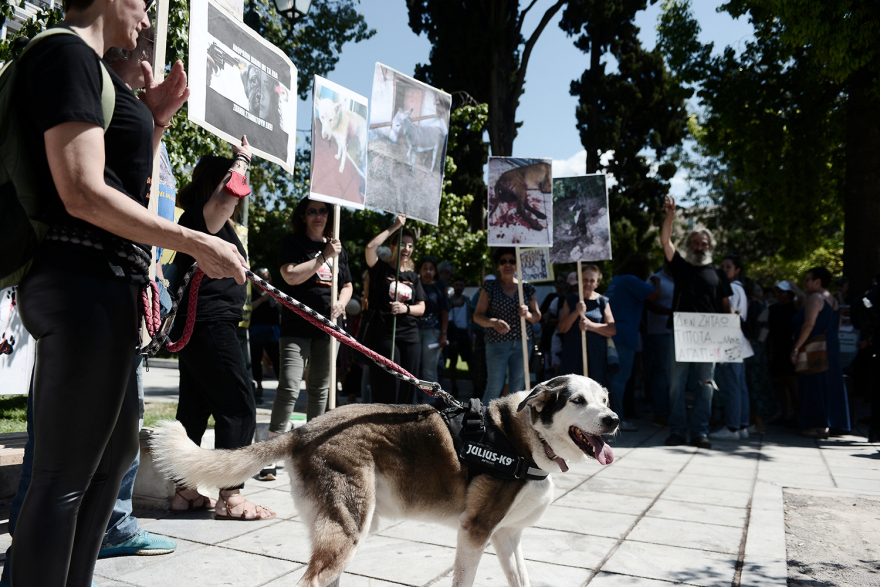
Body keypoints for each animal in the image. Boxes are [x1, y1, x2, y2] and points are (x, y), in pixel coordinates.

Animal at [150, 376, 620, 587]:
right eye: (578, 401)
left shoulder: (507, 537)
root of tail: (306, 429)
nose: (614, 420)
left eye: (605, 399)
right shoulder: (475, 532)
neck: (526, 440)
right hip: (351, 522)